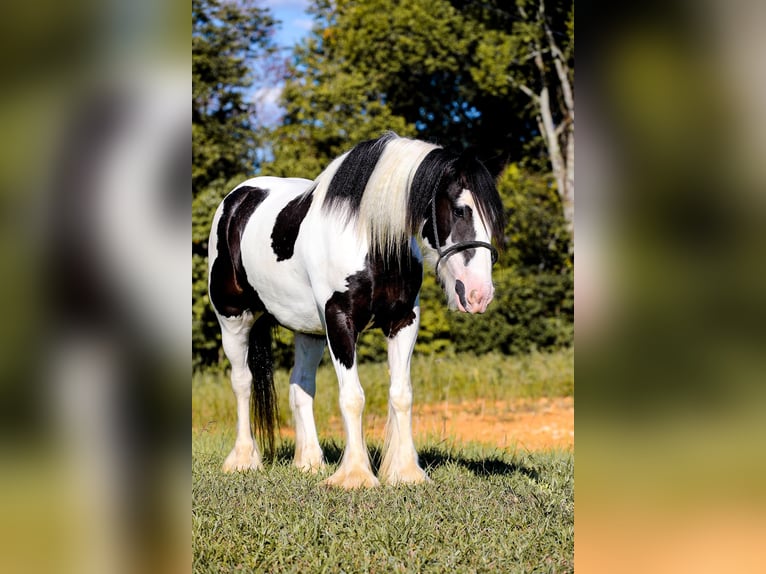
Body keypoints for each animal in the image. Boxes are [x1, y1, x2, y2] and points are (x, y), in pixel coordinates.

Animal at [207, 133, 508, 488]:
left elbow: (401, 394)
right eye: (461, 211)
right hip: (233, 318)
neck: (369, 239)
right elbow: (352, 397)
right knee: (242, 382)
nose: (479, 294)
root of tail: (238, 199)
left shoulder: (403, 320)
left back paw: (309, 462)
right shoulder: (340, 320)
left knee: (300, 386)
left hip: (308, 330)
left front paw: (405, 472)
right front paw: (355, 476)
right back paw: (243, 459)